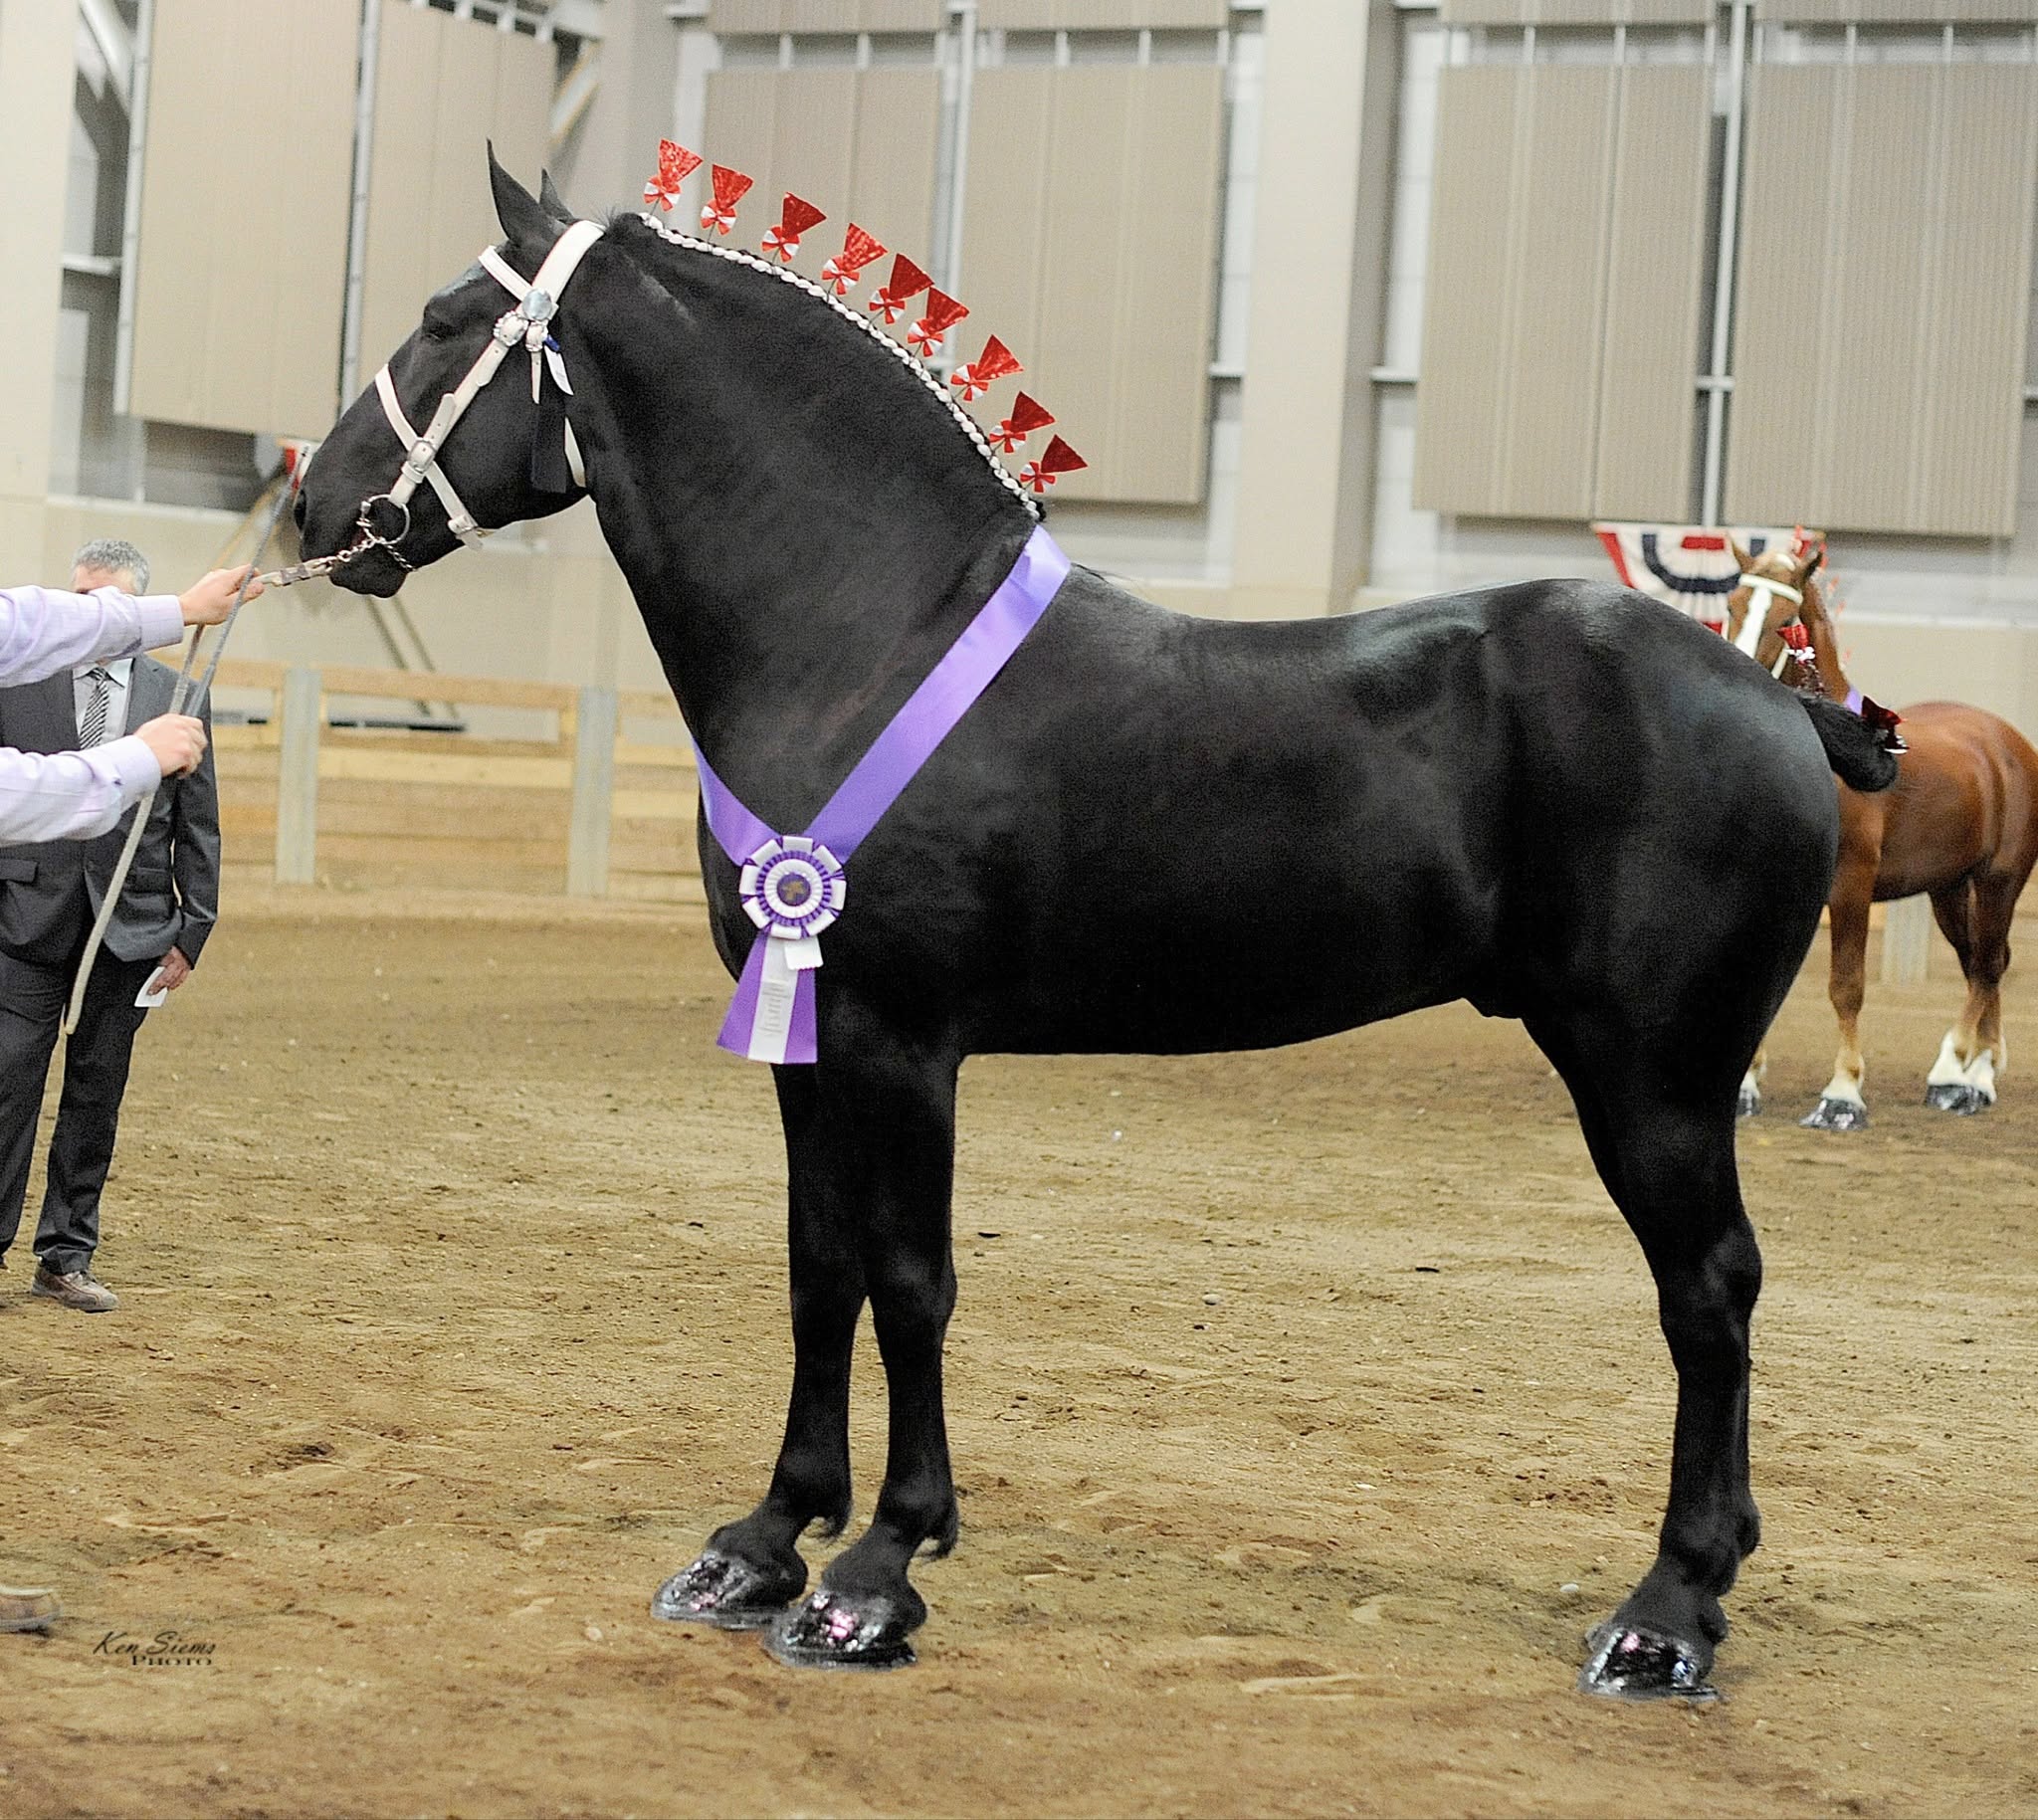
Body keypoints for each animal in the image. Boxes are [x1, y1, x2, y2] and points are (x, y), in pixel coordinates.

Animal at [292, 155, 1897, 1699]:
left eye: (441, 320)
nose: (315, 509)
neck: (870, 631)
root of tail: (1779, 699)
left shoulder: (901, 1042)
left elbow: (910, 1283)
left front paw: (874, 1573)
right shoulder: (808, 1042)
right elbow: (818, 1269)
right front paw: (761, 1543)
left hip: (1654, 1082)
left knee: (1708, 1295)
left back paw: (1665, 1616)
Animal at [1726, 540, 2038, 1130]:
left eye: (1784, 621)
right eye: (1732, 605)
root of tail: (2006, 741)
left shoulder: (1851, 887)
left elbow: (1846, 987)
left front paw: (1843, 1094)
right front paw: (1745, 1089)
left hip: (1999, 883)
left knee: (1988, 967)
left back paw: (1970, 1079)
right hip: (1948, 890)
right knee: (1979, 965)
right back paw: (1960, 1073)